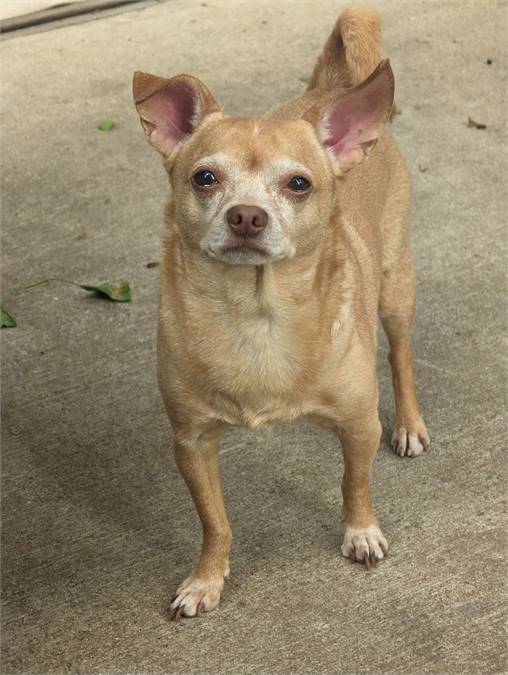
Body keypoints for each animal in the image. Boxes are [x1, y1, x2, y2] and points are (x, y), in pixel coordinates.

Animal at [132, 6, 428, 616]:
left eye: (298, 184)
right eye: (205, 178)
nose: (246, 215)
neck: (257, 313)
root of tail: (330, 90)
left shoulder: (360, 424)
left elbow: (355, 484)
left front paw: (361, 531)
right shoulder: (191, 442)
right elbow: (214, 522)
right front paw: (207, 578)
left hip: (394, 289)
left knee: (402, 355)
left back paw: (410, 423)